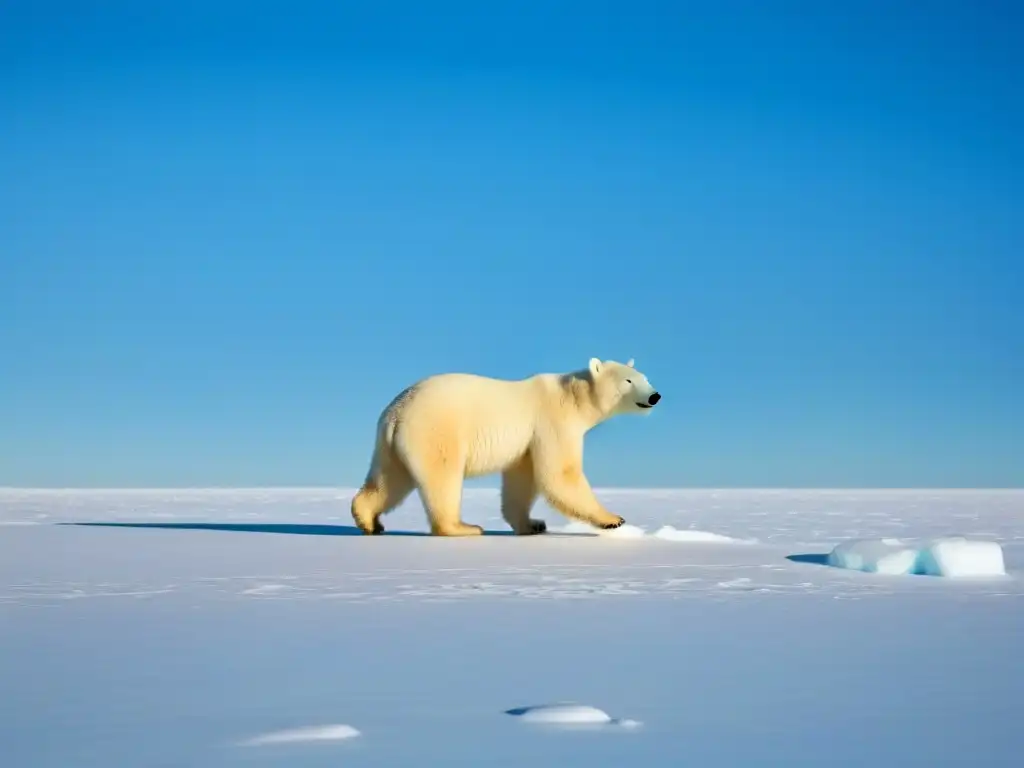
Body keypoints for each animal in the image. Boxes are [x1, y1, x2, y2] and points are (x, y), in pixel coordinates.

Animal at [348, 358, 659, 536]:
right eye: (628, 380)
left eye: (645, 377)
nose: (655, 396)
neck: (573, 397)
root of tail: (396, 412)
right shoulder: (553, 422)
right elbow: (560, 475)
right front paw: (613, 519)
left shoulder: (529, 440)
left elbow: (523, 478)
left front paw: (532, 524)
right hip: (435, 431)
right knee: (442, 479)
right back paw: (464, 528)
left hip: (392, 445)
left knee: (390, 480)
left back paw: (369, 521)